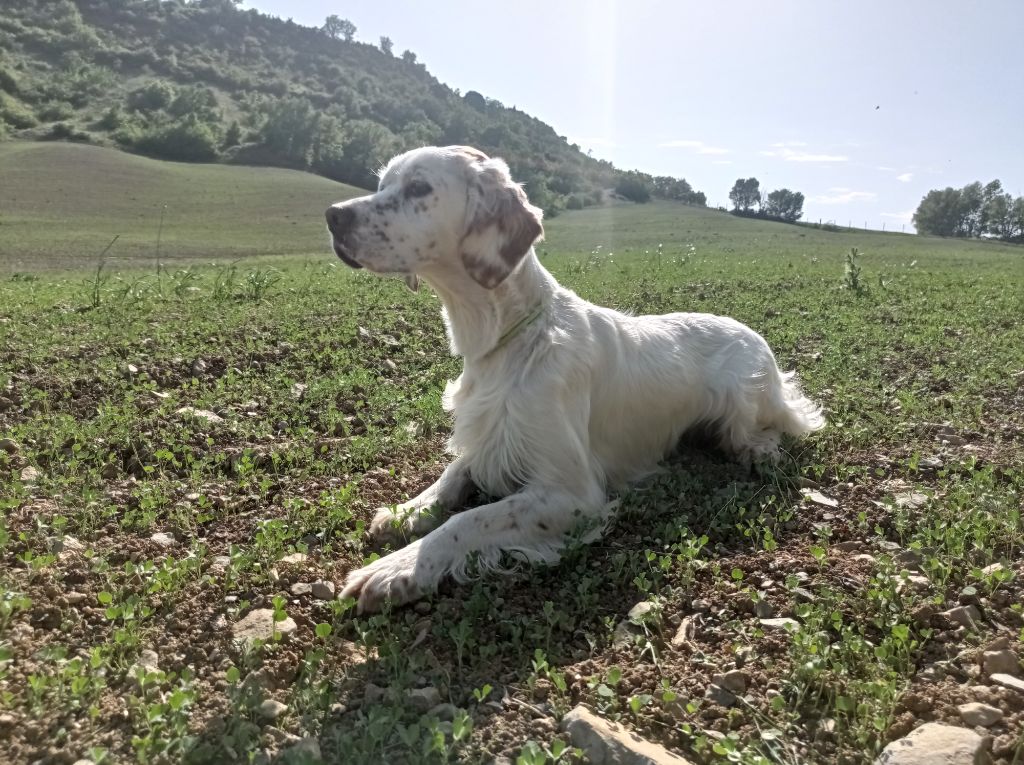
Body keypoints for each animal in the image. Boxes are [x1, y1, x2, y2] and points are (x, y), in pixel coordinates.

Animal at [327, 143, 823, 614]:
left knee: (776, 425)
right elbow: (452, 474)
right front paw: (407, 509)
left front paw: (398, 568)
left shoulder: (572, 494)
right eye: (384, 183)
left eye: (418, 188)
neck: (508, 340)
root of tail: (753, 334)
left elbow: (467, 520)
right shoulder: (491, 438)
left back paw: (759, 450)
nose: (333, 215)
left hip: (743, 393)